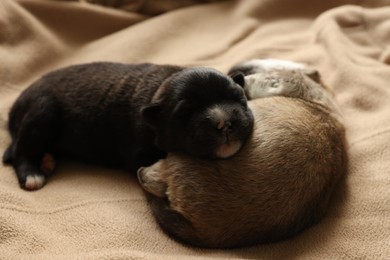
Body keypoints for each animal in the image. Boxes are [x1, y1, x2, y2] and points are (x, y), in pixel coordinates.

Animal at [2, 62, 253, 190]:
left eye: (238, 97)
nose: (224, 123)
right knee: (21, 150)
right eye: (185, 113)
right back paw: (33, 174)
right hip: (43, 111)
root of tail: (15, 107)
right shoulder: (138, 154)